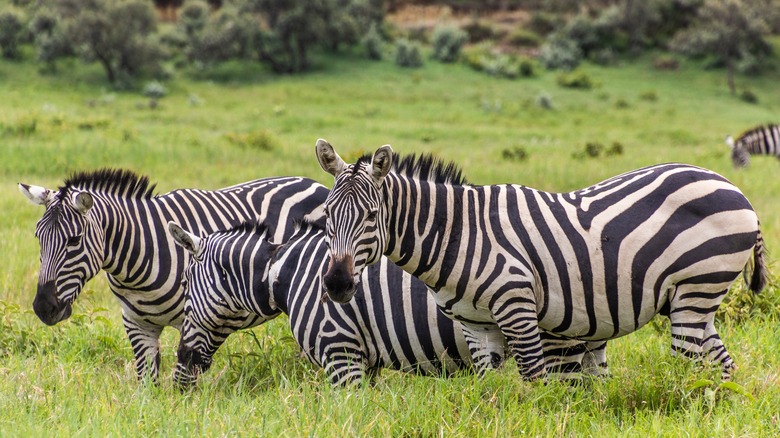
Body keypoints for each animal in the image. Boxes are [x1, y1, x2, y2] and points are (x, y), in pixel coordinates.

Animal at [17, 169, 330, 382]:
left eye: (74, 240)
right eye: (38, 238)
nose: (44, 308)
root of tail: (311, 182)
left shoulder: (196, 318)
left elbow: (185, 373)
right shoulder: (135, 322)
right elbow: (147, 380)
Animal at [316, 139, 768, 382]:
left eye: (371, 216)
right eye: (326, 214)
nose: (337, 284)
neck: (457, 234)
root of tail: (733, 187)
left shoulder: (517, 306)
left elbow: (535, 381)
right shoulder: (476, 326)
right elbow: (490, 388)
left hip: (697, 286)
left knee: (688, 366)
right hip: (693, 300)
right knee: (722, 365)